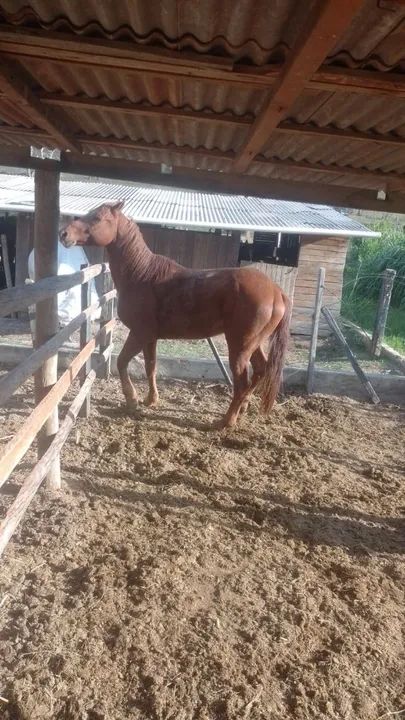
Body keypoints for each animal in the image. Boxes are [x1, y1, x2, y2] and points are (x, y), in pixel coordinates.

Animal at [60, 201, 290, 428]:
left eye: (97, 218)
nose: (64, 233)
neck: (141, 275)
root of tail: (275, 291)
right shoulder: (150, 338)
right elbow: (150, 366)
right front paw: (151, 400)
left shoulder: (139, 333)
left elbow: (122, 362)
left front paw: (132, 400)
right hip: (254, 344)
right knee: (260, 370)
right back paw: (243, 407)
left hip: (240, 347)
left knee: (242, 382)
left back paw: (227, 420)